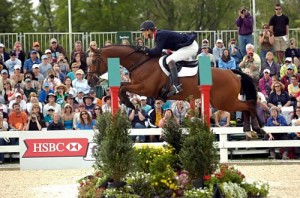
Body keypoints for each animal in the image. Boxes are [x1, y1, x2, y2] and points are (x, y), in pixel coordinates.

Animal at [88, 45, 264, 135]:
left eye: (94, 61)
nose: (90, 81)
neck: (140, 62)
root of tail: (233, 73)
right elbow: (122, 87)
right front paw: (130, 104)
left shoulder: (146, 88)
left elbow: (123, 88)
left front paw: (130, 104)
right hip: (223, 101)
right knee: (247, 106)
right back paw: (249, 130)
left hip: (223, 101)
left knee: (249, 104)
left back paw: (257, 128)